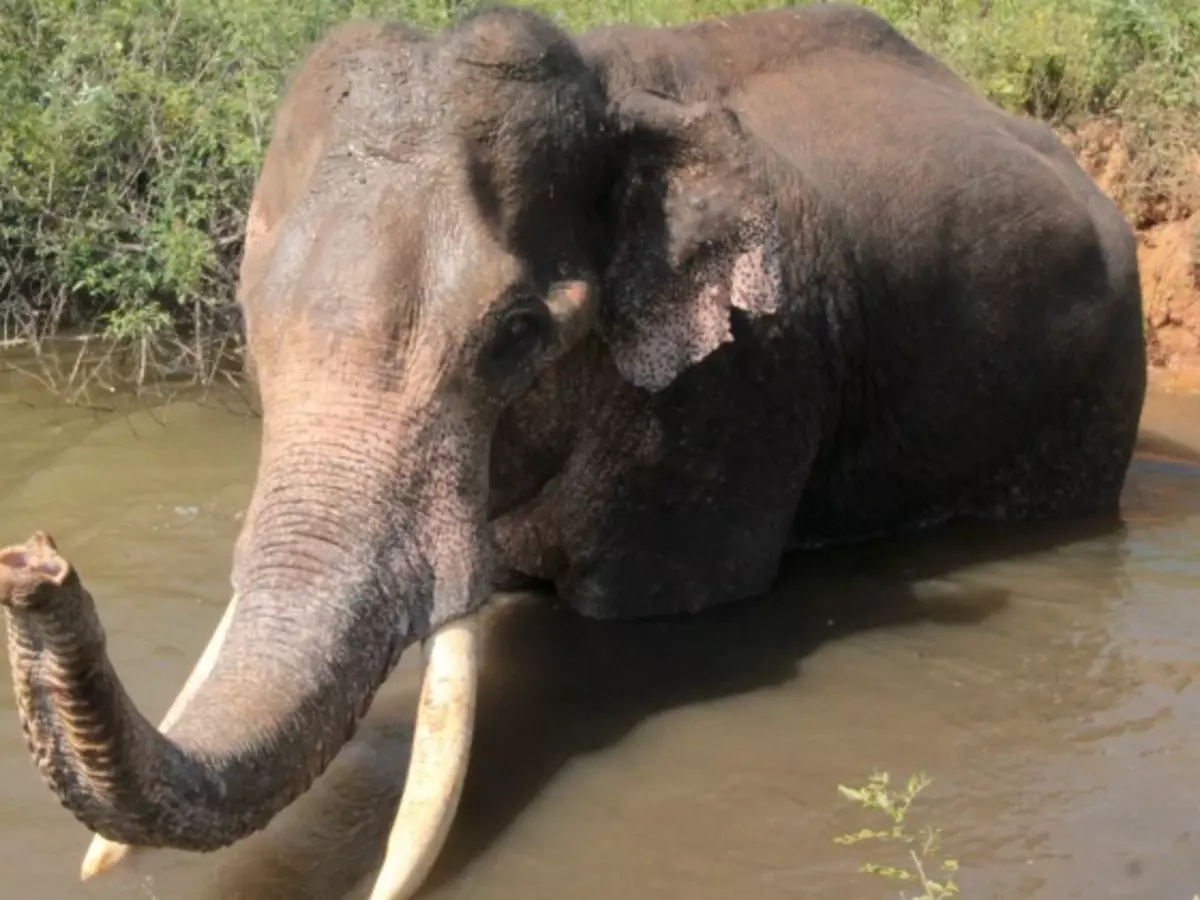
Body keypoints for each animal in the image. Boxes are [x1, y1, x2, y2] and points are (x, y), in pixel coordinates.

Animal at [0, 3, 1146, 900]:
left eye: (513, 335)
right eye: (247, 317)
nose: (36, 566)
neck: (616, 100)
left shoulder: (744, 395)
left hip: (1096, 395)